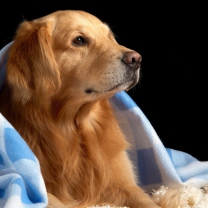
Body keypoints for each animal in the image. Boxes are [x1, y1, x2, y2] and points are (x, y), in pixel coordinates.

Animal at [0, 10, 159, 208]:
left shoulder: (122, 184)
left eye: (108, 37)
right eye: (79, 40)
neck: (74, 129)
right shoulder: (34, 188)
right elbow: (51, 200)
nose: (136, 59)